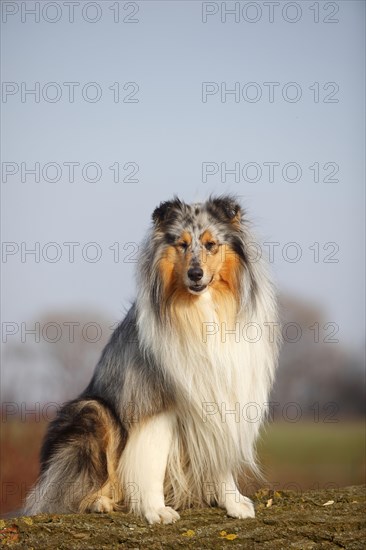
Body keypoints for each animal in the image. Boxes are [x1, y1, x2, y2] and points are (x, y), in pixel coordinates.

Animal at [23, 196, 280, 524]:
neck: (200, 311)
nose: (195, 274)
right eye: (182, 244)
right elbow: (152, 462)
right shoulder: (155, 401)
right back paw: (100, 501)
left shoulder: (220, 399)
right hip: (93, 410)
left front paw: (233, 503)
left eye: (211, 244)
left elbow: (219, 457)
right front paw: (155, 509)